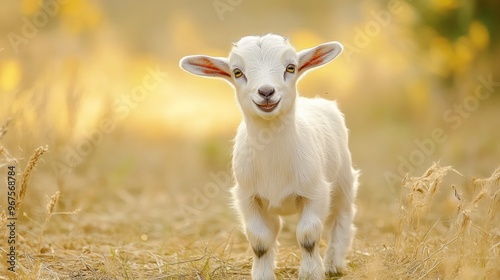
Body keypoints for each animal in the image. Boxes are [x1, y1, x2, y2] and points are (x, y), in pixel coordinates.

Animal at [180, 34, 360, 278]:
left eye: (291, 67)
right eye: (237, 72)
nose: (266, 92)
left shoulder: (316, 192)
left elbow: (308, 236)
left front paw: (311, 273)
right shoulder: (247, 197)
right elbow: (260, 241)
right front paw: (263, 274)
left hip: (343, 180)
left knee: (342, 216)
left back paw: (334, 264)